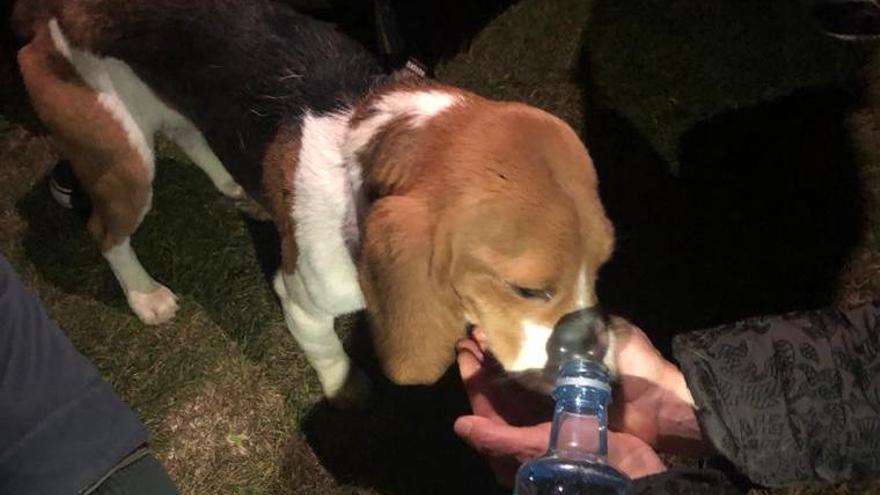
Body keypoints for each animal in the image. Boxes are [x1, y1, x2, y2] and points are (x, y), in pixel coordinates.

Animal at [13, 0, 620, 404]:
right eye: (528, 290)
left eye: (600, 267)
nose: (601, 371)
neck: (361, 149)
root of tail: (53, 9)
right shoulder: (301, 301)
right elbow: (328, 350)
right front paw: (345, 391)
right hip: (125, 165)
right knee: (106, 232)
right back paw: (144, 296)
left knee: (189, 134)